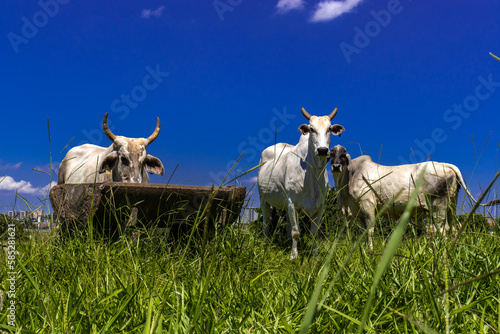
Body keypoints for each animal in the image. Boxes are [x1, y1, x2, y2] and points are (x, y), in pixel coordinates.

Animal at [258, 108, 344, 260]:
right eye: (312, 129)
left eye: (329, 129)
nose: (322, 150)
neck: (313, 173)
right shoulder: (293, 203)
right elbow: (296, 232)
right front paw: (294, 256)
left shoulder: (319, 205)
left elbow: (313, 233)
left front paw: (315, 256)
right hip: (263, 198)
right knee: (267, 222)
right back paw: (266, 244)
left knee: (287, 225)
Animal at [330, 144, 498, 248]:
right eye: (331, 154)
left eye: (343, 155)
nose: (336, 166)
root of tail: (444, 164)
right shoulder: (358, 212)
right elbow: (363, 233)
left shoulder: (368, 205)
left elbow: (370, 231)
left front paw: (370, 251)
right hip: (451, 205)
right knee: (451, 228)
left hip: (439, 206)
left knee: (441, 229)